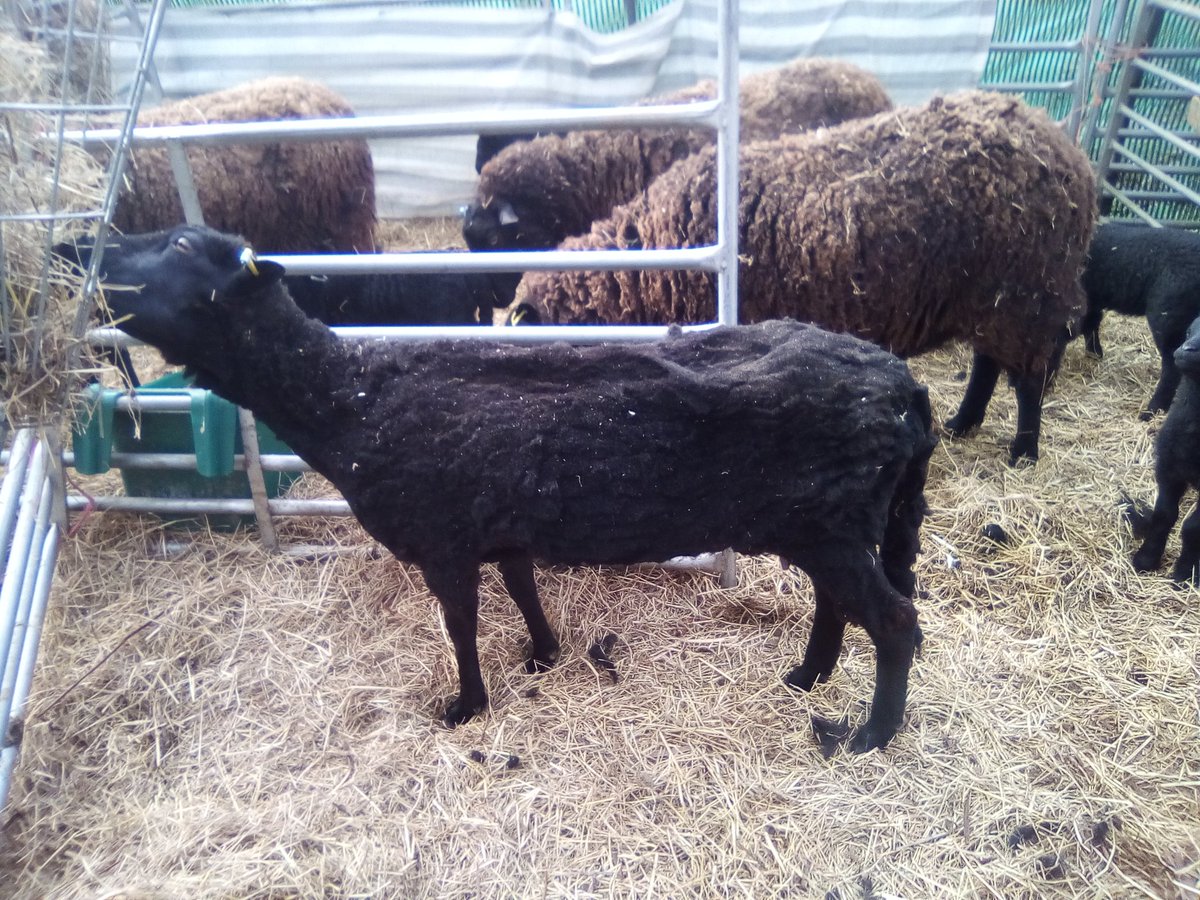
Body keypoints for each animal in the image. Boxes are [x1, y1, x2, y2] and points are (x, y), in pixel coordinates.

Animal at [77, 222, 938, 753]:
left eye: (180, 244)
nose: (78, 247)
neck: (347, 398)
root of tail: (902, 386)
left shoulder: (442, 541)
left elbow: (460, 627)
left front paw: (466, 707)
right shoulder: (500, 526)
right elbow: (523, 588)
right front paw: (542, 655)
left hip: (829, 521)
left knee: (895, 622)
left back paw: (869, 735)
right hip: (827, 522)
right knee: (838, 604)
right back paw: (807, 675)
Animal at [515, 91, 1098, 464]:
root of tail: (1067, 148)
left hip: (1026, 294)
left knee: (1026, 378)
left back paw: (1023, 452)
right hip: (991, 301)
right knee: (988, 362)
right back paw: (962, 423)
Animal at [1075, 221, 1200, 418]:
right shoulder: (1092, 298)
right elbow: (1091, 324)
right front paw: (1094, 354)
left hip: (1169, 314)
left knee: (1172, 366)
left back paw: (1152, 410)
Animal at [1126, 314, 1200, 585]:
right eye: (1189, 331)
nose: (1183, 350)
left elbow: (1192, 528)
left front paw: (1184, 574)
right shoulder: (1169, 470)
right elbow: (1164, 515)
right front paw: (1146, 559)